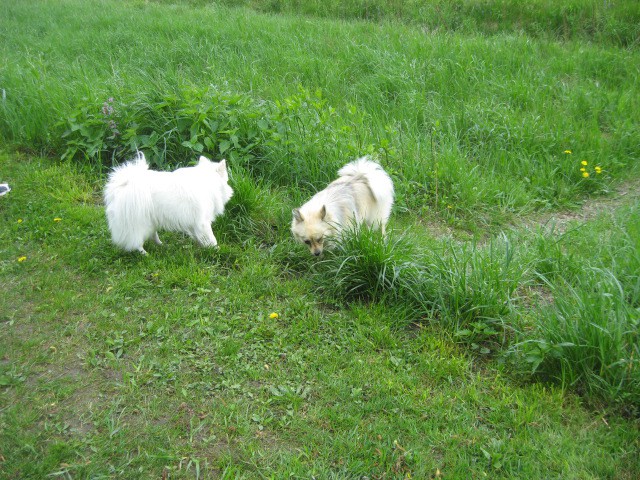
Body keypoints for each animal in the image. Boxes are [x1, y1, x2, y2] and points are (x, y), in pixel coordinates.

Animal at [104, 153, 234, 255]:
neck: (207, 181)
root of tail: (123, 187)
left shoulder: (194, 224)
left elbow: (199, 238)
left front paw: (203, 248)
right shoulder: (203, 222)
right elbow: (212, 238)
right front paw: (217, 250)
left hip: (151, 222)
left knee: (153, 236)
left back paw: (162, 245)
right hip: (139, 224)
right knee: (137, 242)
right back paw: (146, 254)